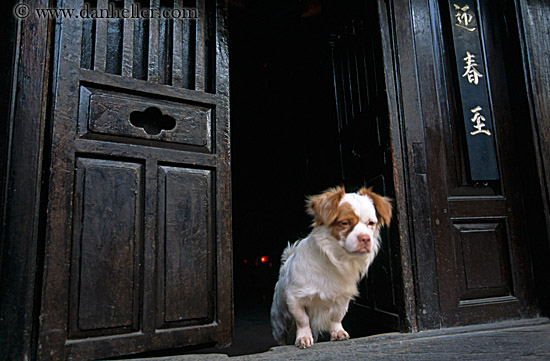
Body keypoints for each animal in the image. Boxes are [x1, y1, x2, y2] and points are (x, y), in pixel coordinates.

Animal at [270, 186, 392, 346]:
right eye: (345, 223)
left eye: (371, 223)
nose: (365, 238)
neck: (337, 259)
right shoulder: (295, 299)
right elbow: (303, 320)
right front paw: (303, 337)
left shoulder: (342, 298)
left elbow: (336, 317)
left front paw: (338, 332)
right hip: (279, 322)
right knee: (281, 335)